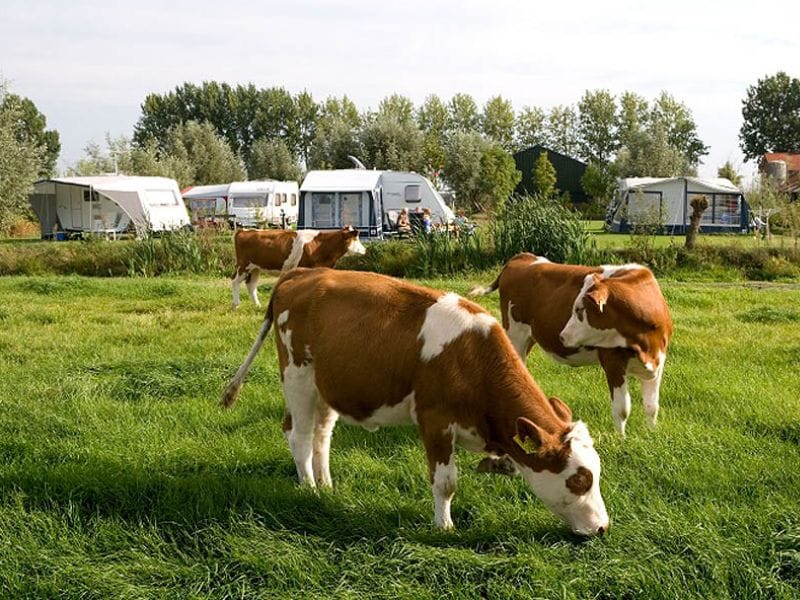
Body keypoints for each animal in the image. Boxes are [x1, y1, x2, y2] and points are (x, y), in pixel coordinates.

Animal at [222, 268, 608, 536]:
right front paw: (444, 527)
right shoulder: (435, 420)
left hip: (328, 385)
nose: (603, 528)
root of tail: (303, 273)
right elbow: (446, 482)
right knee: (299, 436)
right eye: (579, 479)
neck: (471, 356)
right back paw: (311, 490)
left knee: (321, 435)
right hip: (297, 376)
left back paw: (328, 485)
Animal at [230, 226, 364, 310]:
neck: (320, 245)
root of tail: (243, 230)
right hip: (243, 265)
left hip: (255, 267)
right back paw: (236, 304)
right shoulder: (305, 267)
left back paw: (257, 305)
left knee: (251, 284)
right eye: (356, 238)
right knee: (235, 281)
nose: (365, 250)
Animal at [472, 253, 672, 436]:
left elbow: (652, 406)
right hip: (514, 334)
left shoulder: (658, 362)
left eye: (580, 309)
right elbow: (622, 409)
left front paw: (651, 434)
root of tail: (523, 256)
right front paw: (621, 440)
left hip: (528, 338)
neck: (644, 345)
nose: (562, 336)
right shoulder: (613, 363)